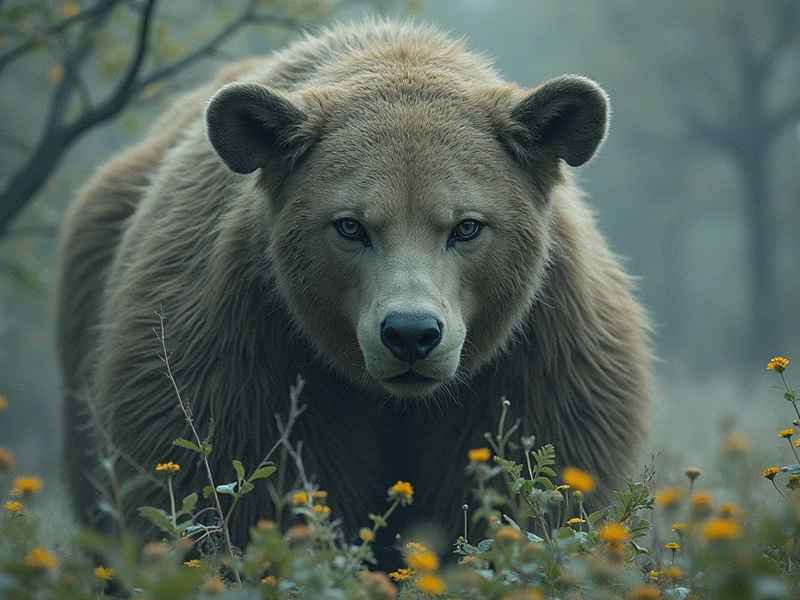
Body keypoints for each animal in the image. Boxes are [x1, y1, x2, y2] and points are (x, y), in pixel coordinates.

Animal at [56, 20, 651, 556]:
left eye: (466, 226)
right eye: (350, 225)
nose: (411, 334)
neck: (390, 400)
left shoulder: (534, 368)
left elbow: (516, 495)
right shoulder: (245, 359)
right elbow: (233, 497)